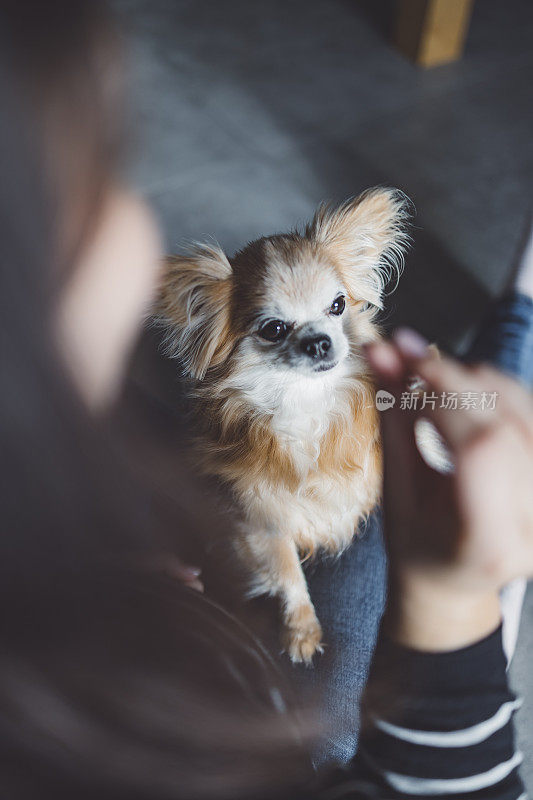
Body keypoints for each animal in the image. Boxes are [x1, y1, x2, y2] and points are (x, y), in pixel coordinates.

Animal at [157, 188, 408, 664]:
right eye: (273, 329)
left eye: (338, 305)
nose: (320, 340)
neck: (305, 403)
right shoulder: (259, 519)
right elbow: (287, 572)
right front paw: (301, 630)